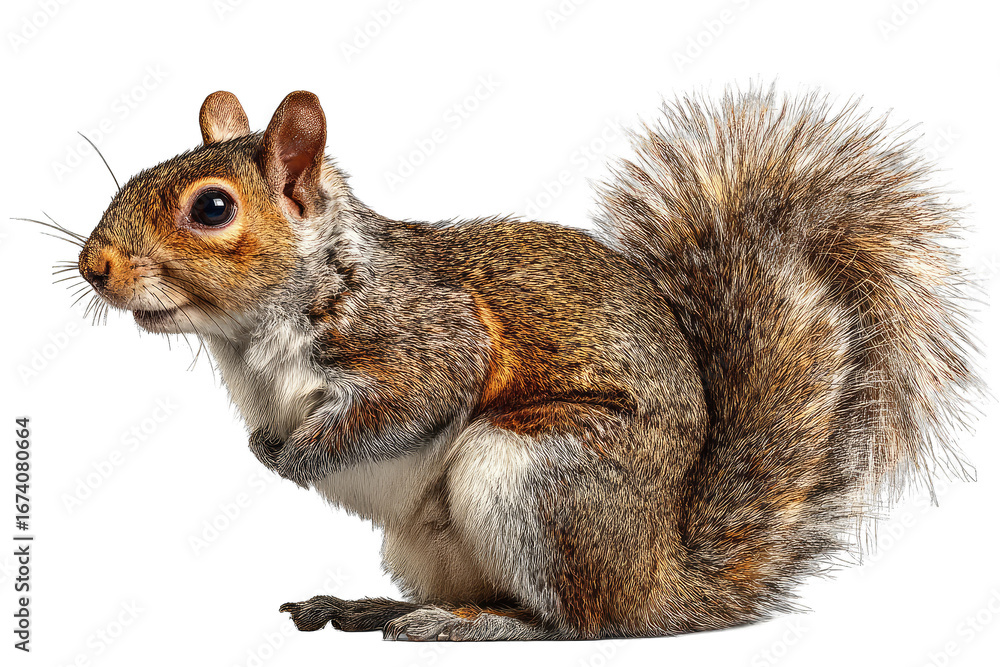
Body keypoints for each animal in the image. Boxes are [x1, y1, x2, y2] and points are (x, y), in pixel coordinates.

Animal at [72, 86, 980, 641]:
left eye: (212, 208)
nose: (94, 266)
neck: (250, 335)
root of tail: (661, 580)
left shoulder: (429, 337)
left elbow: (413, 399)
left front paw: (296, 456)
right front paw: (266, 446)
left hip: (532, 474)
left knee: (579, 621)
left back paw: (479, 624)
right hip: (435, 538)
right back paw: (370, 606)